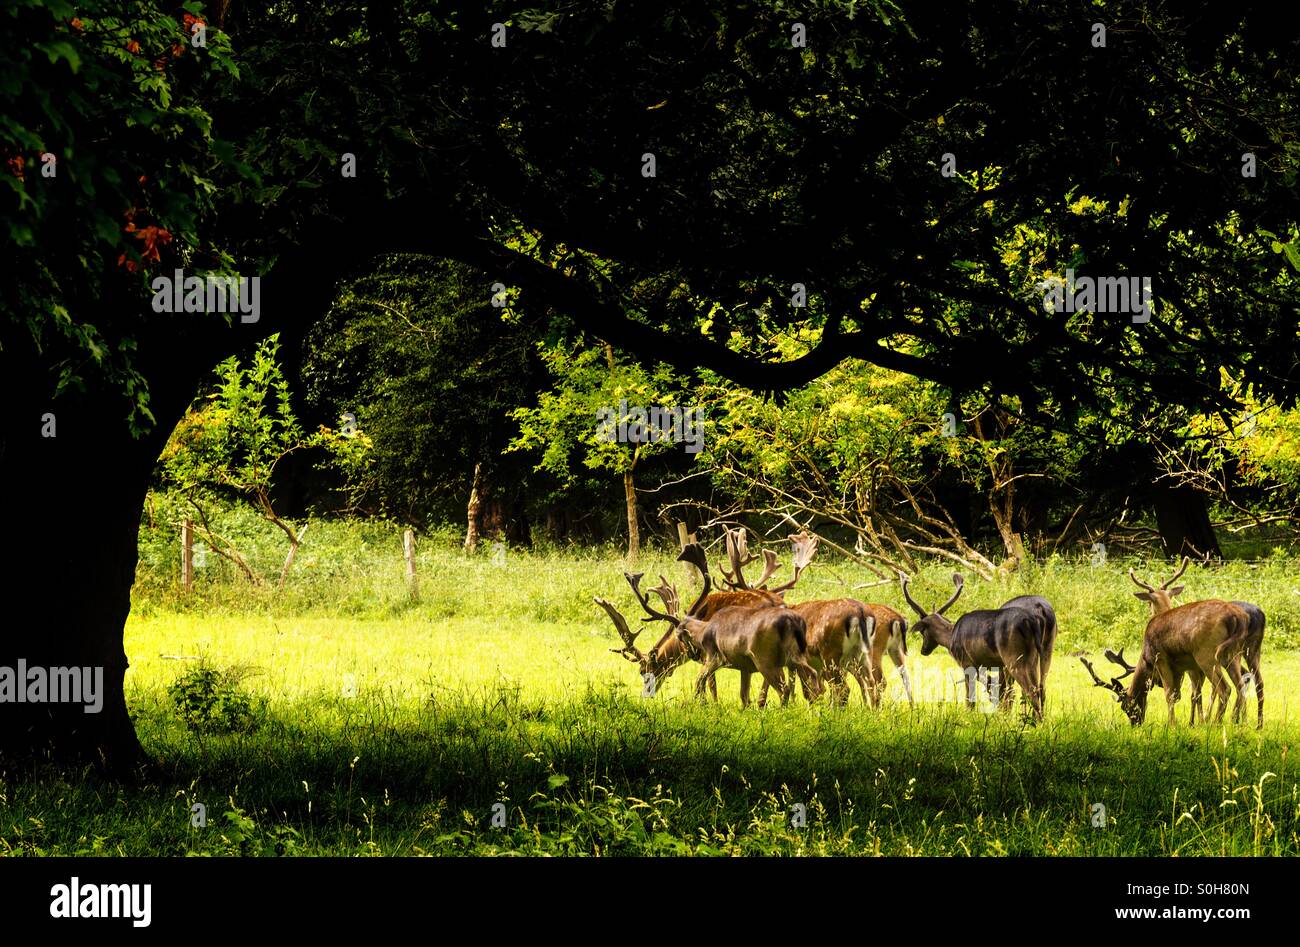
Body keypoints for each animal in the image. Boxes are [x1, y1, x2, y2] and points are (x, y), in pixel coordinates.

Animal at [901, 572, 1047, 720]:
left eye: (922, 632)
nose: (923, 650)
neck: (951, 637)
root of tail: (1031, 621)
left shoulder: (965, 662)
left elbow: (970, 696)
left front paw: (968, 715)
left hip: (1014, 656)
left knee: (1031, 690)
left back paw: (1037, 721)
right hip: (1032, 657)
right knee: (1039, 688)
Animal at [1080, 597, 1252, 726]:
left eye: (1126, 707)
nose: (1136, 724)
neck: (1146, 659)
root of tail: (1237, 617)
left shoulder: (1161, 659)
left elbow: (1169, 694)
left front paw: (1172, 724)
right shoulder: (1183, 668)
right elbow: (1185, 695)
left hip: (1207, 654)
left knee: (1225, 688)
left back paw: (1216, 724)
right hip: (1234, 654)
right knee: (1240, 685)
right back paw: (1242, 723)